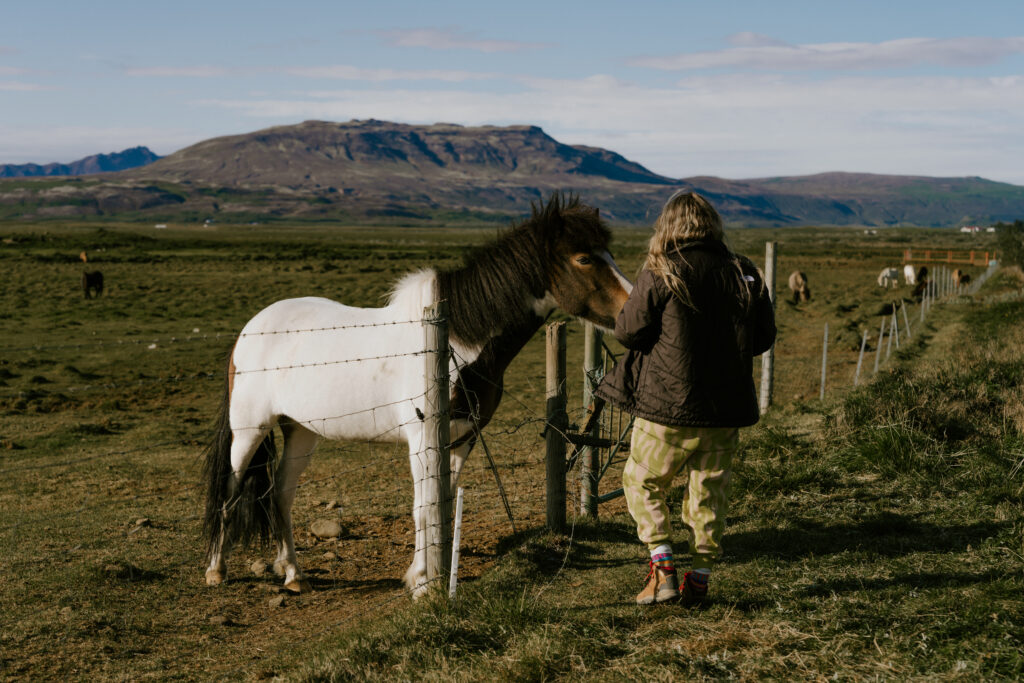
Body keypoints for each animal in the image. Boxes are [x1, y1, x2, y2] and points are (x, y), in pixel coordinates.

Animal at [199, 193, 630, 598]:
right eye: (583, 258)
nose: (633, 309)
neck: (455, 340)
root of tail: (251, 328)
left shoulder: (463, 438)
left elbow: (443, 504)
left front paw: (434, 575)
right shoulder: (423, 441)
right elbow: (423, 507)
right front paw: (422, 583)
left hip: (302, 431)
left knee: (280, 496)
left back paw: (293, 574)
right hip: (249, 431)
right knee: (230, 491)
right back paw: (217, 570)